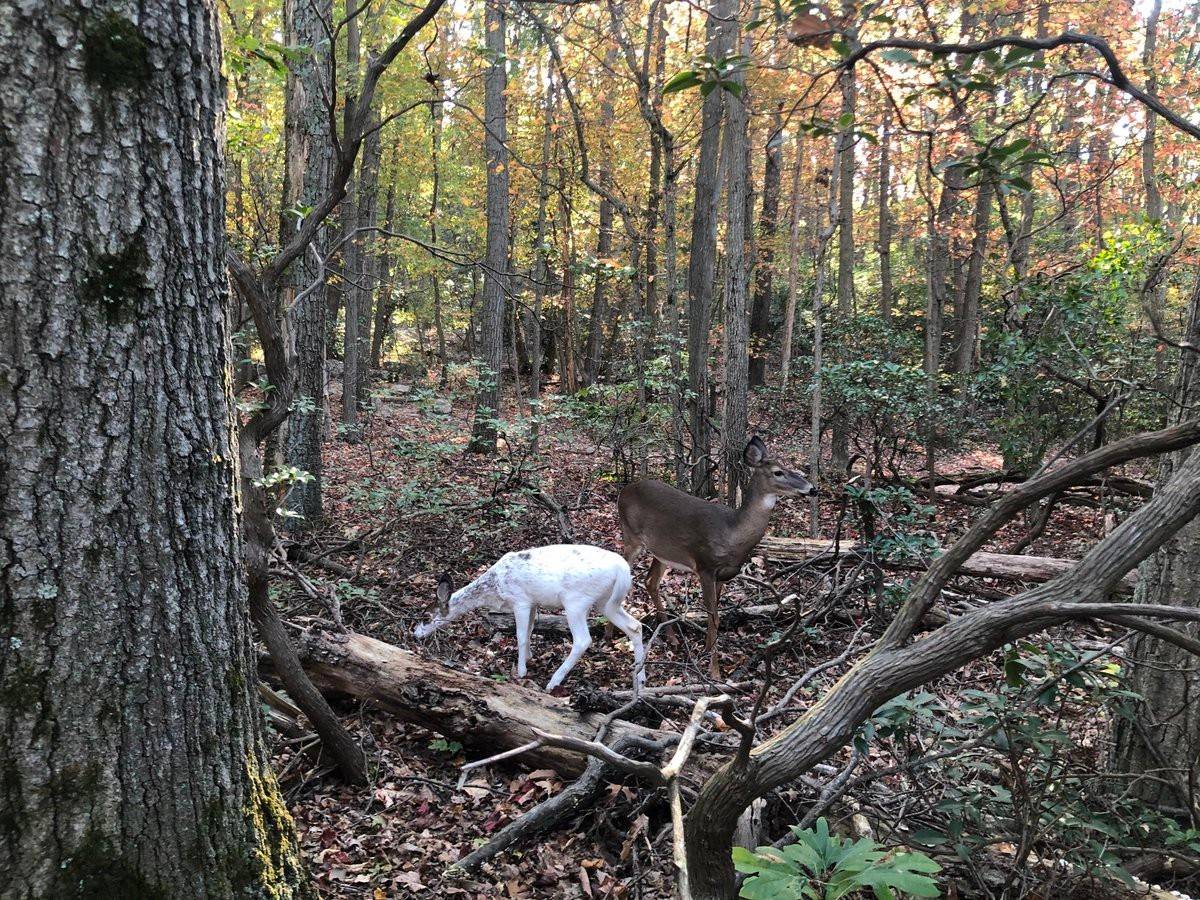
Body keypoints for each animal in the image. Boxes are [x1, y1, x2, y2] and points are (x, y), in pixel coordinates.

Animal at [412, 542, 643, 696]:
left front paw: (521, 671)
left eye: (426, 617)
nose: (415, 635)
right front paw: (530, 657)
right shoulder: (532, 602)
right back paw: (640, 680)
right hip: (606, 602)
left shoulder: (520, 600)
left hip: (576, 601)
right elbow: (531, 629)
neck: (495, 587)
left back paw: (553, 682)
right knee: (635, 626)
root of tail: (623, 569)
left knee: (583, 640)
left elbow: (521, 635)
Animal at [619, 436, 816, 676]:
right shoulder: (705, 566)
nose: (812, 489)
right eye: (778, 472)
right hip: (631, 537)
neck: (732, 532)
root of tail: (624, 491)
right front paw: (714, 671)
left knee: (651, 581)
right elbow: (713, 617)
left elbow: (716, 615)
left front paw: (706, 648)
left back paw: (673, 639)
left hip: (663, 551)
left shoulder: (723, 574)